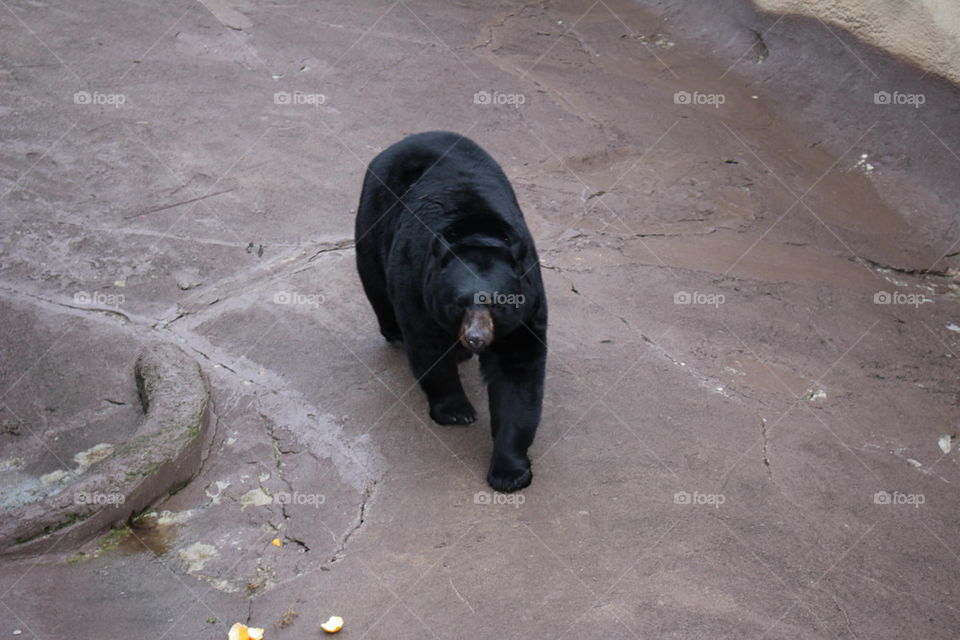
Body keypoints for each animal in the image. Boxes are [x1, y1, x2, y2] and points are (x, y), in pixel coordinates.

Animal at [355, 131, 547, 492]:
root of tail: (413, 138)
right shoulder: (418, 282)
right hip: (375, 213)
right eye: (459, 302)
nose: (475, 338)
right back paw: (395, 331)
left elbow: (518, 375)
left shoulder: (528, 307)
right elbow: (428, 347)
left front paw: (510, 472)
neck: (478, 231)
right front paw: (457, 411)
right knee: (373, 274)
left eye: (498, 302)